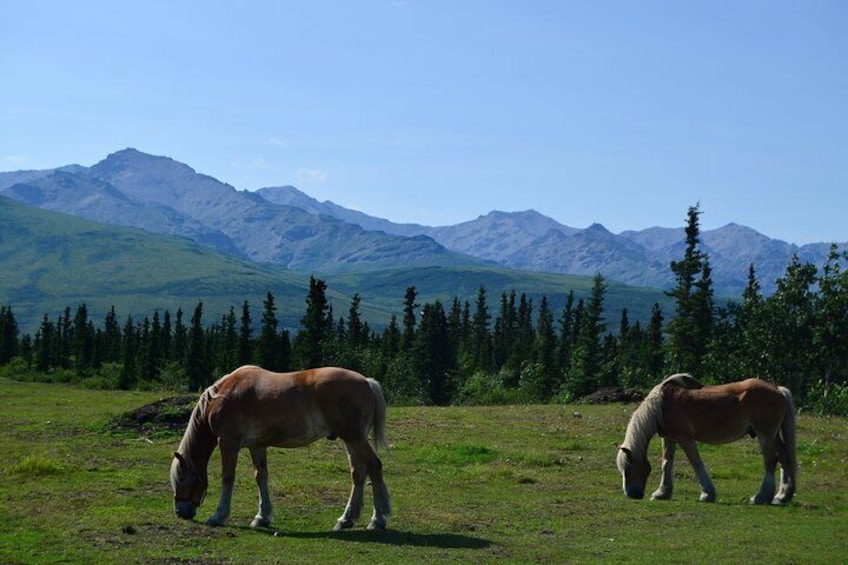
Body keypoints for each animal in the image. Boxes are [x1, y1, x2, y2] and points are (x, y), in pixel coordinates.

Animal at [169, 365, 391, 530]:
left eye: (182, 479)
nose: (180, 512)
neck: (223, 394)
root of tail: (367, 382)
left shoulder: (228, 443)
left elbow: (227, 478)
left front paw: (219, 516)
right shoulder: (257, 446)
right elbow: (261, 477)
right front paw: (262, 517)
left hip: (354, 438)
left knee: (374, 466)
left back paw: (378, 519)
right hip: (350, 440)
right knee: (358, 473)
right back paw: (346, 519)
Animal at [616, 373, 797, 505]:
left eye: (628, 468)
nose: (632, 494)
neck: (662, 404)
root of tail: (778, 390)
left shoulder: (685, 439)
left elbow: (696, 463)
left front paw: (707, 494)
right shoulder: (669, 439)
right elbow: (667, 463)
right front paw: (662, 493)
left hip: (765, 435)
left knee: (771, 461)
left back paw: (761, 497)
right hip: (774, 436)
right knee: (785, 459)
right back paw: (782, 496)